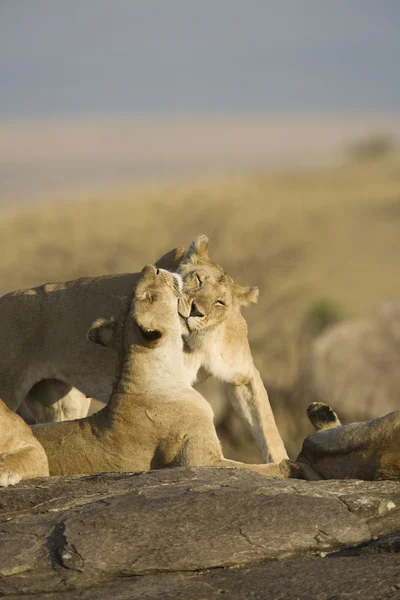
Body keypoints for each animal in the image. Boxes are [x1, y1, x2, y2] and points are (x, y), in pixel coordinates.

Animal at [0, 234, 288, 464]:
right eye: (197, 279)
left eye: (219, 302)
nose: (196, 310)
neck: (198, 341)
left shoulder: (243, 375)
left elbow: (266, 424)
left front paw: (283, 462)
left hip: (63, 403)